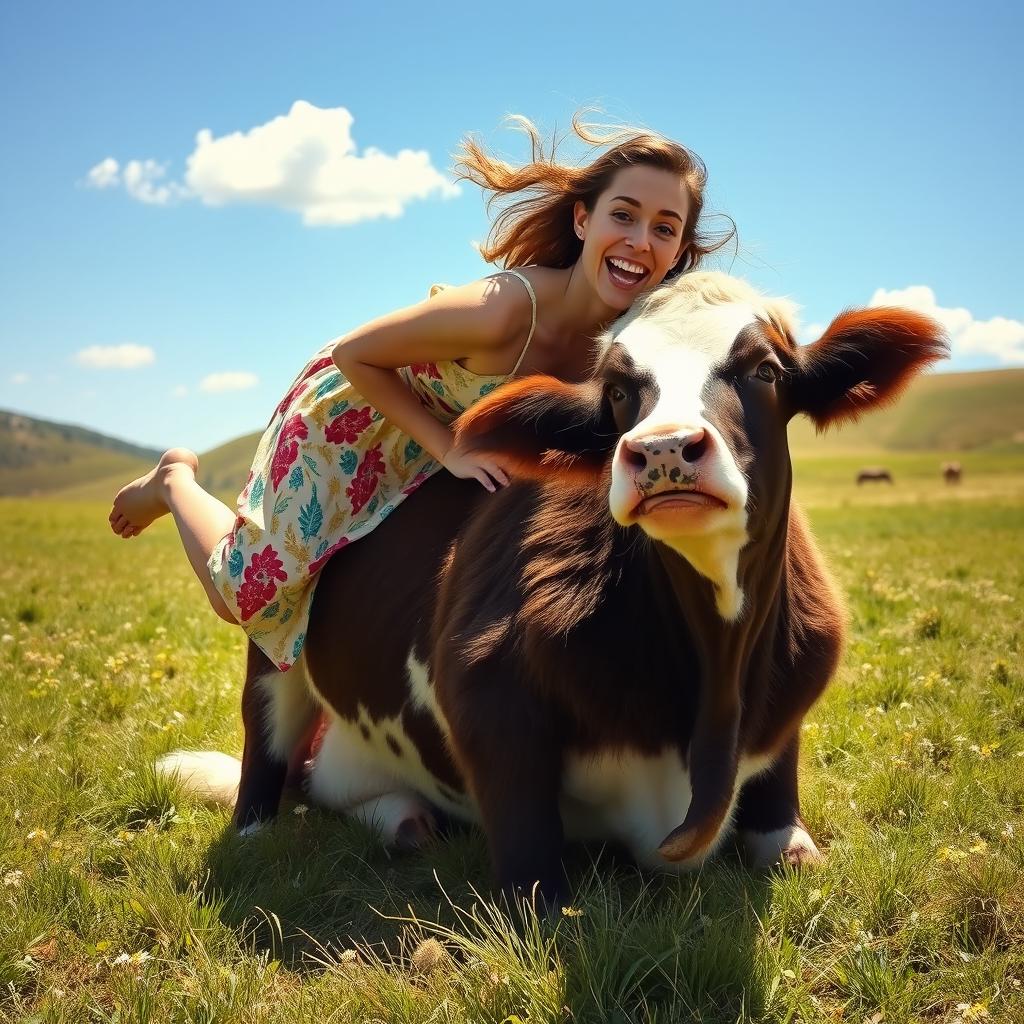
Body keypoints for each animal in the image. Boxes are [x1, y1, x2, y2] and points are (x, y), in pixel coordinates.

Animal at [162, 272, 946, 905]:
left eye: (766, 368)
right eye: (619, 389)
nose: (663, 448)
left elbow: (784, 825)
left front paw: (789, 841)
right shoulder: (484, 685)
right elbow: (531, 871)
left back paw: (403, 818)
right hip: (271, 632)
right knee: (267, 739)